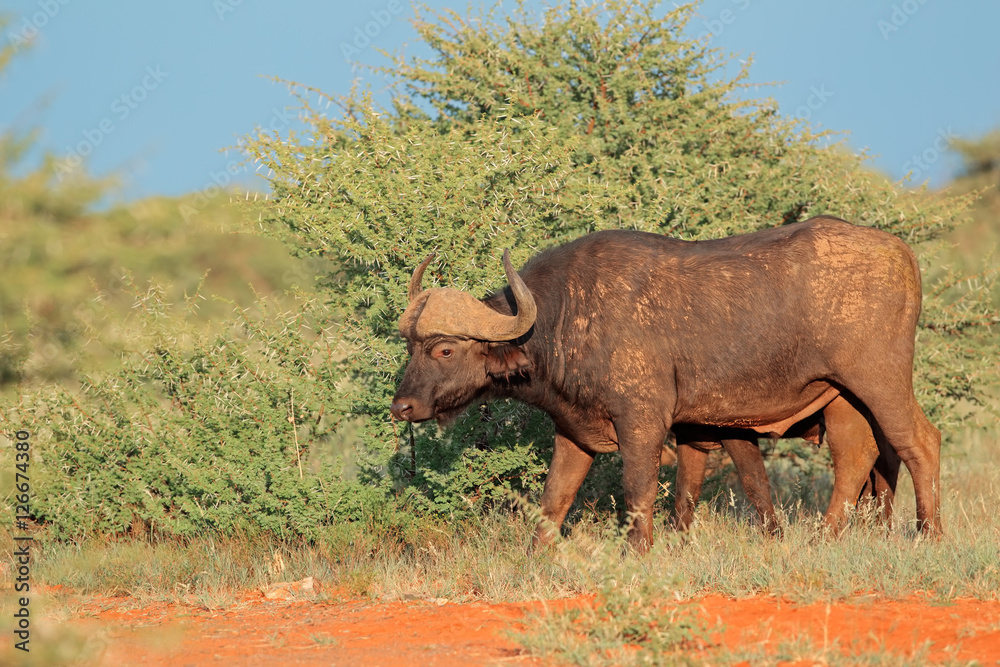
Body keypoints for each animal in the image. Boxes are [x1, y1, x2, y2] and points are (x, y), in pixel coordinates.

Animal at [390, 216, 940, 551]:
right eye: (409, 346)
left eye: (444, 349)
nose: (402, 408)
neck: (567, 314)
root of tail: (899, 251)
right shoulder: (575, 432)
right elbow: (554, 499)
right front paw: (536, 557)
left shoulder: (642, 424)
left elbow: (639, 491)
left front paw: (639, 552)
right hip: (843, 399)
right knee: (857, 456)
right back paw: (824, 538)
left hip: (880, 382)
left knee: (920, 442)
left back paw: (928, 533)